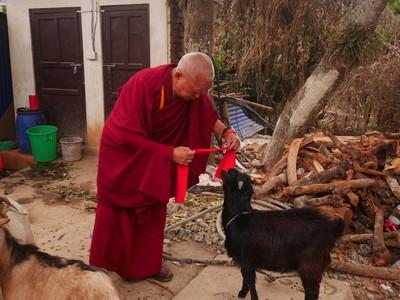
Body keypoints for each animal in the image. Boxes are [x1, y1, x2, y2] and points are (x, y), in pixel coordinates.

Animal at [222, 169, 344, 300]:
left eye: (233, 174)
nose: (227, 170)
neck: (239, 217)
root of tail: (331, 228)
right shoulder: (245, 263)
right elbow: (245, 278)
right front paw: (242, 293)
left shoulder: (247, 261)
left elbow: (250, 282)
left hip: (310, 264)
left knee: (312, 290)